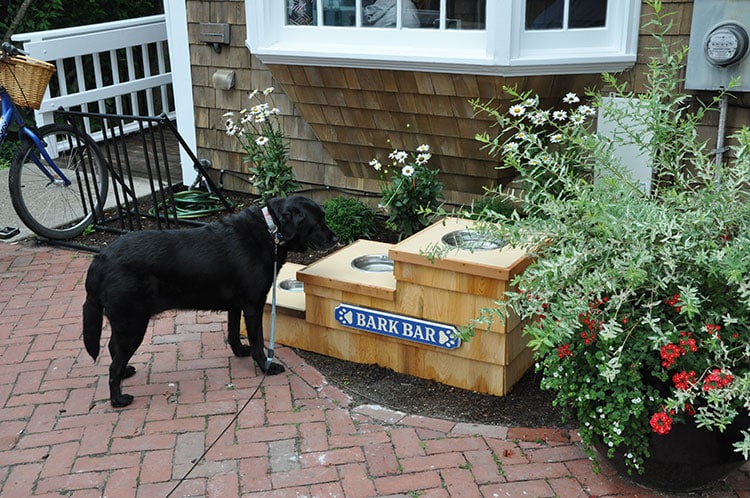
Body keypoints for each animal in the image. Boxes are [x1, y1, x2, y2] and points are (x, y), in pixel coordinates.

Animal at [83, 196, 340, 406]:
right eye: (318, 222)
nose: (336, 237)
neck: (271, 230)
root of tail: (100, 259)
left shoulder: (237, 305)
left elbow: (233, 332)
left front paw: (240, 351)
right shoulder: (253, 304)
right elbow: (257, 341)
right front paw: (266, 365)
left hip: (125, 321)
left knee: (112, 348)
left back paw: (125, 373)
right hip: (133, 322)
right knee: (113, 364)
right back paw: (118, 399)